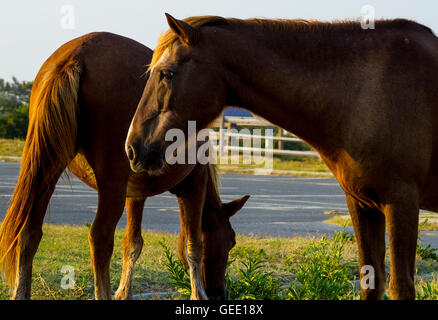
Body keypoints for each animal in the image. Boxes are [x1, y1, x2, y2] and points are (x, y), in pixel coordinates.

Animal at [0, 32, 248, 300]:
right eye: (232, 241)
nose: (221, 293)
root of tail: (75, 54)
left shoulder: (135, 192)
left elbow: (133, 243)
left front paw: (123, 291)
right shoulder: (194, 186)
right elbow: (193, 245)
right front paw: (198, 294)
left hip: (47, 167)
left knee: (29, 232)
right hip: (109, 182)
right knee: (100, 237)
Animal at [126, 14, 438, 300]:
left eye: (167, 73)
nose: (132, 147)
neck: (365, 92)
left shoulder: (400, 203)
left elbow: (401, 288)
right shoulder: (362, 204)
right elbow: (371, 282)